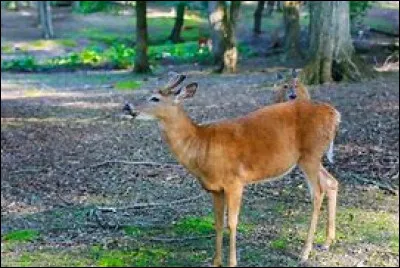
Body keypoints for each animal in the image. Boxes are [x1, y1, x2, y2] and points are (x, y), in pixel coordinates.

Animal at [123, 73, 340, 266]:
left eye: (154, 98)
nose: (127, 106)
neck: (201, 146)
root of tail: (334, 114)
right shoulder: (215, 189)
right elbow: (218, 222)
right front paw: (215, 262)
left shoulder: (235, 182)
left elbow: (232, 222)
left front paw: (232, 262)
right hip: (310, 158)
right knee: (332, 182)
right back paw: (327, 242)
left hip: (310, 154)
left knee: (317, 192)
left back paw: (305, 252)